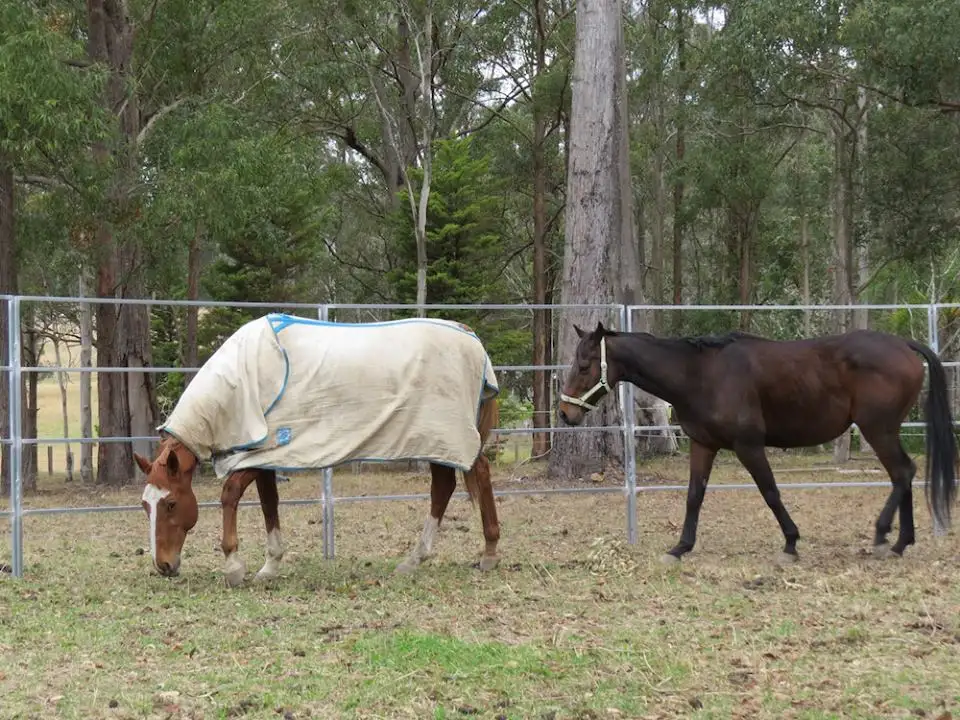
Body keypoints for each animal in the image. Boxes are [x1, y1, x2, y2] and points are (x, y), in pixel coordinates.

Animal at [560, 324, 956, 564]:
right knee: (905, 473)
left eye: (585, 365)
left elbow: (770, 492)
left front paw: (791, 543)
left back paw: (883, 535)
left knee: (902, 472)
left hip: (878, 429)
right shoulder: (703, 445)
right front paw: (680, 547)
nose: (565, 413)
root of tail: (903, 344)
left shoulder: (748, 446)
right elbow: (694, 496)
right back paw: (901, 543)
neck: (701, 374)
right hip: (884, 431)